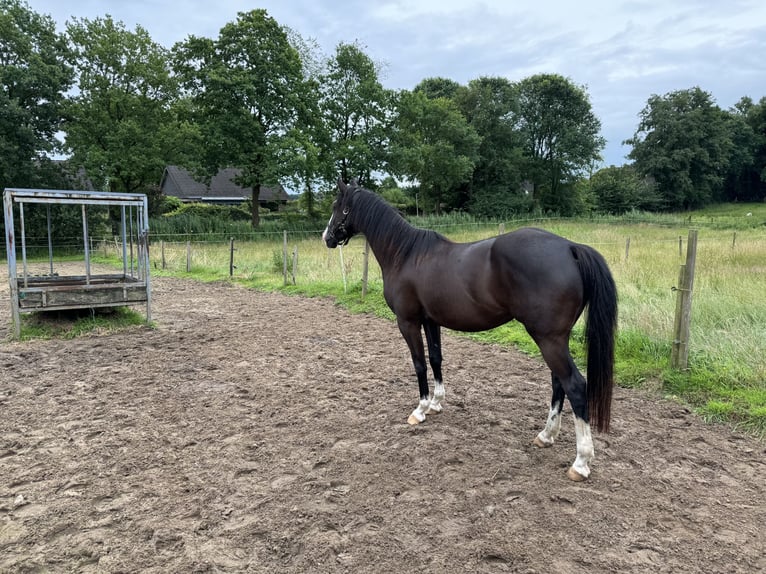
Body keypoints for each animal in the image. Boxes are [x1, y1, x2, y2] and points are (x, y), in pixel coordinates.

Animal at [322, 181, 616, 482]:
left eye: (337, 206)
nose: (327, 237)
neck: (406, 255)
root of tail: (570, 247)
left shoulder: (408, 322)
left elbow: (419, 364)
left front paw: (420, 410)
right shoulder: (431, 321)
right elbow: (435, 359)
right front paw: (436, 403)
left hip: (549, 339)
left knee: (574, 386)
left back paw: (580, 462)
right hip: (555, 339)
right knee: (559, 382)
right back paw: (546, 436)